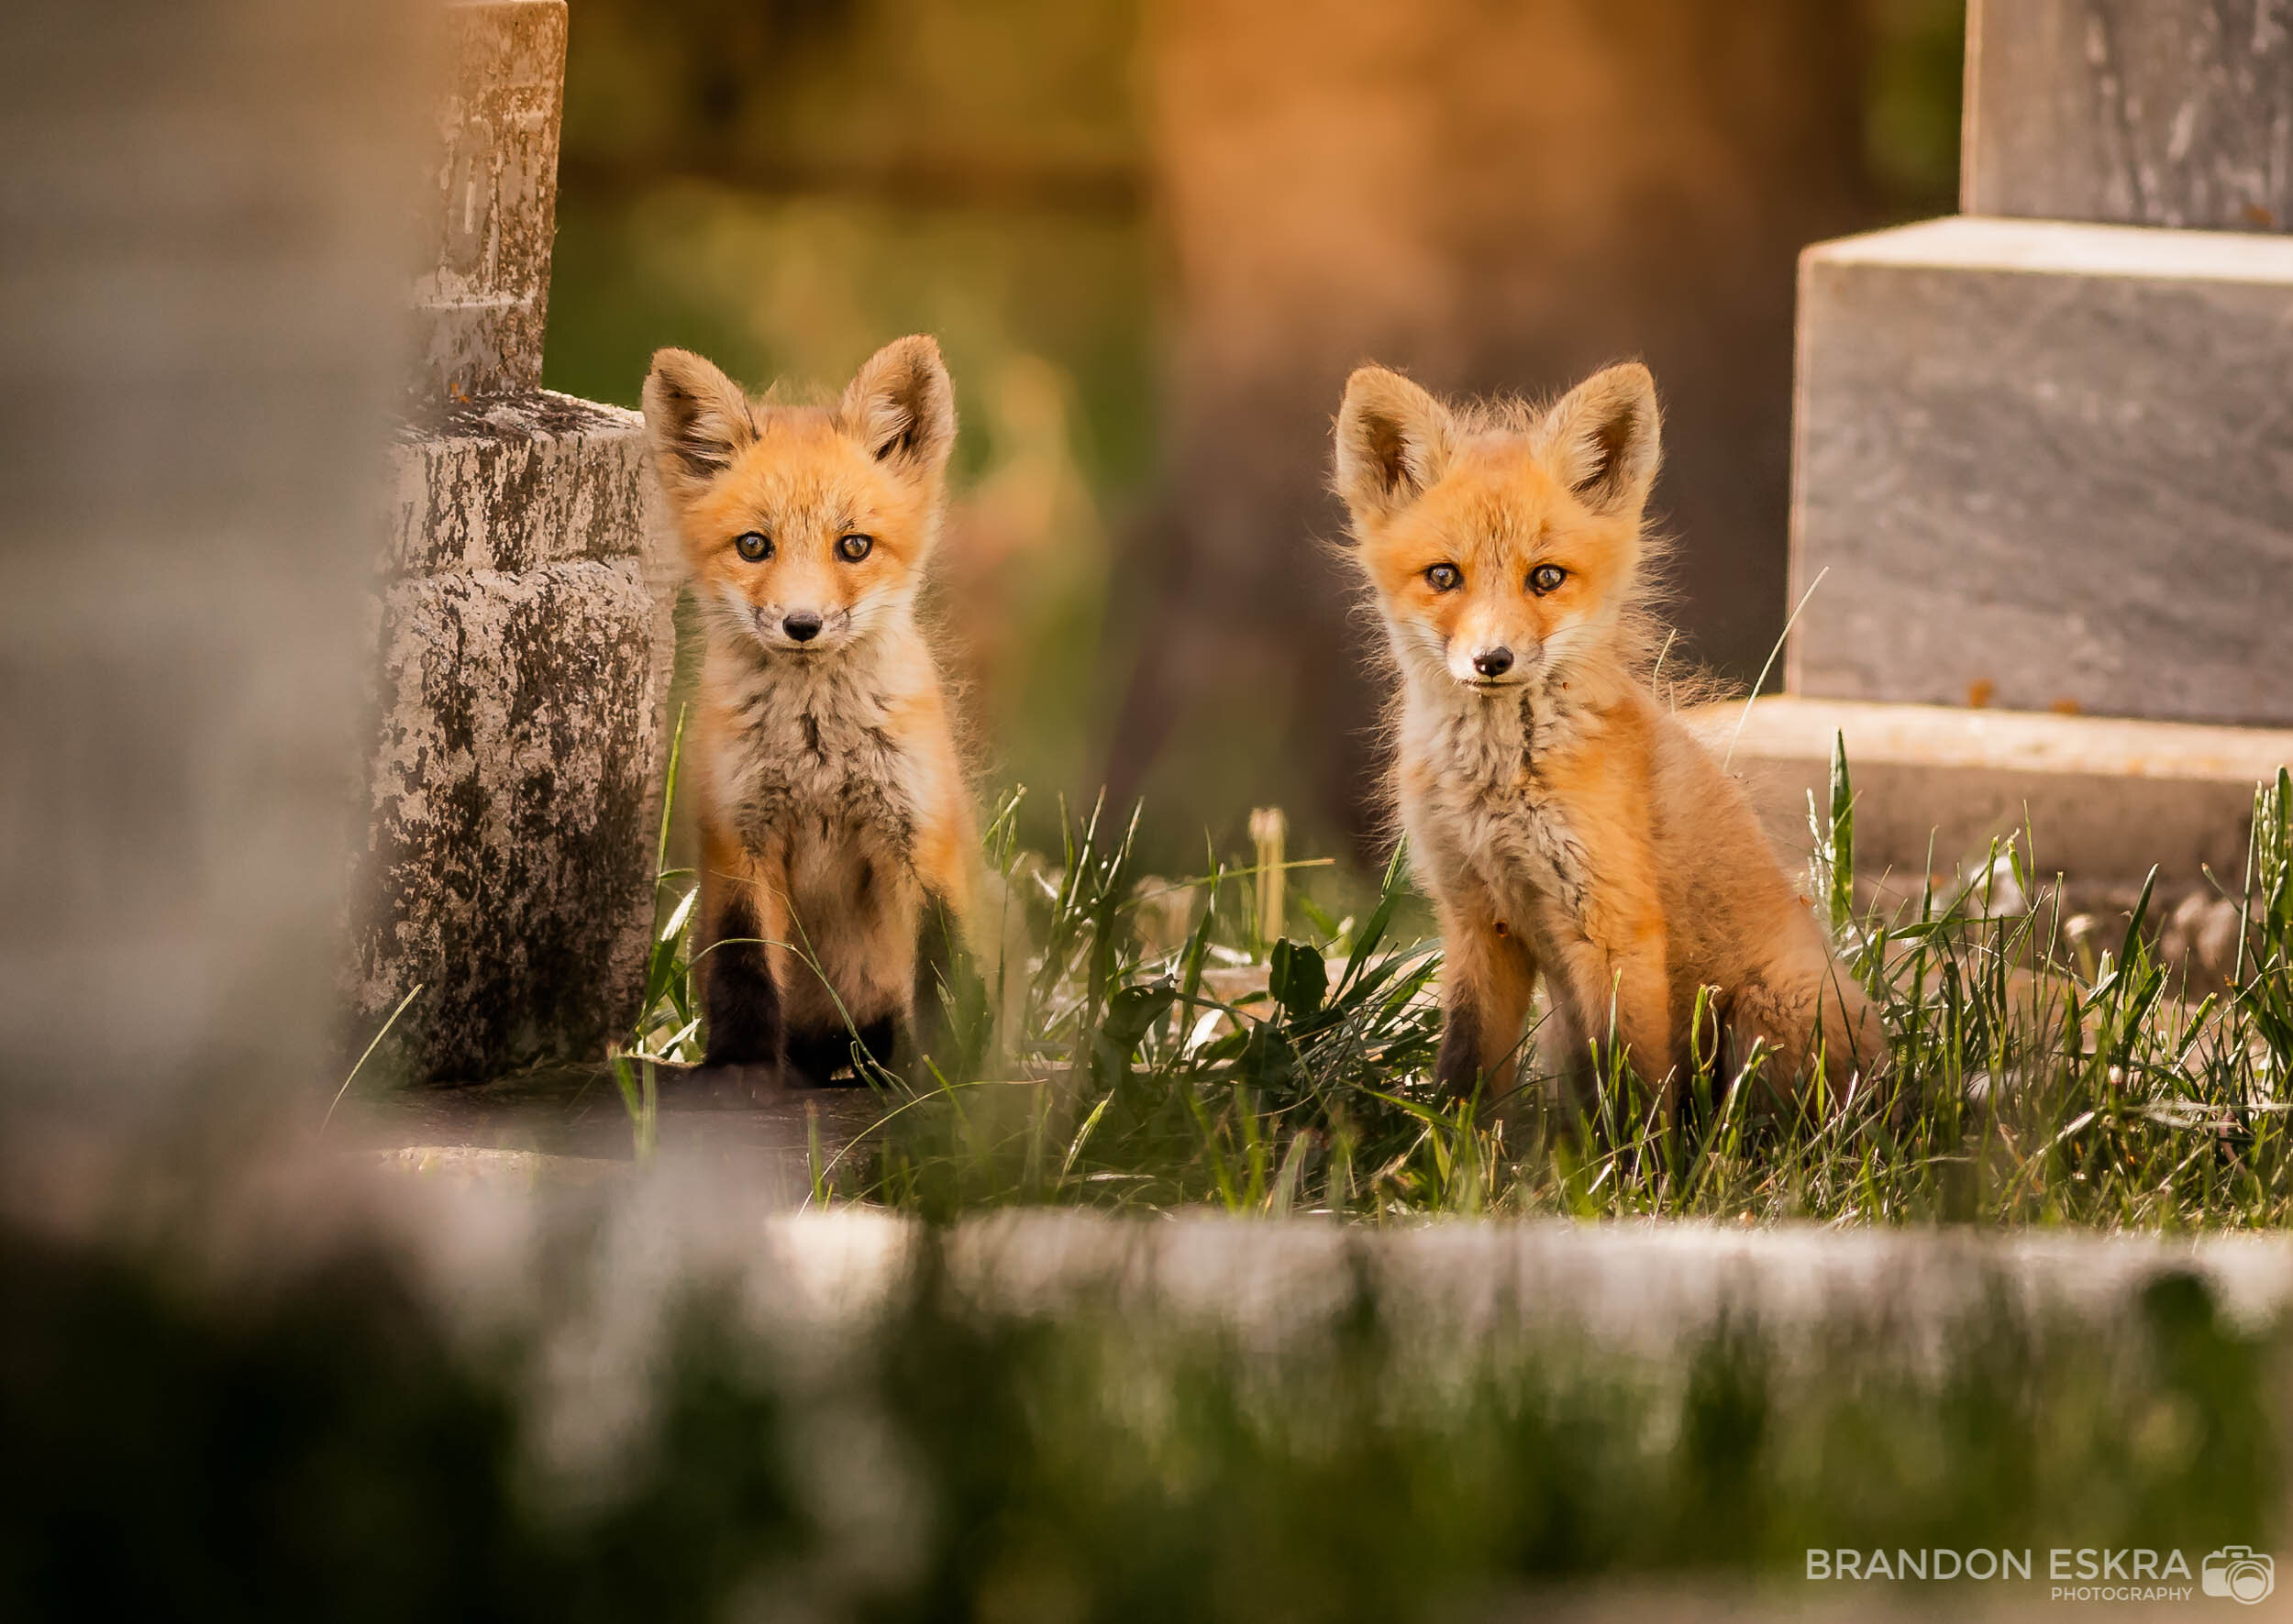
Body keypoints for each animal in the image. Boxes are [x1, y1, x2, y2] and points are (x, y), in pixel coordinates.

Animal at [641, 334, 1013, 1085]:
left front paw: (949, 1082)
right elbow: (745, 966)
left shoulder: (918, 838)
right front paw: (742, 1074)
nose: (802, 625)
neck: (817, 753)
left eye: (855, 545)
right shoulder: (738, 839)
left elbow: (943, 971)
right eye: (754, 545)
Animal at [1331, 359, 1885, 1112]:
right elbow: (1464, 1074)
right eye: (1444, 575)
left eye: (1546, 577)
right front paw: (1443, 1139)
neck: (1498, 791)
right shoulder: (1477, 922)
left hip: (1769, 1018)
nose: (1491, 660)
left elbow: (1637, 1087)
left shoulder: (1614, 928)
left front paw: (1638, 1150)